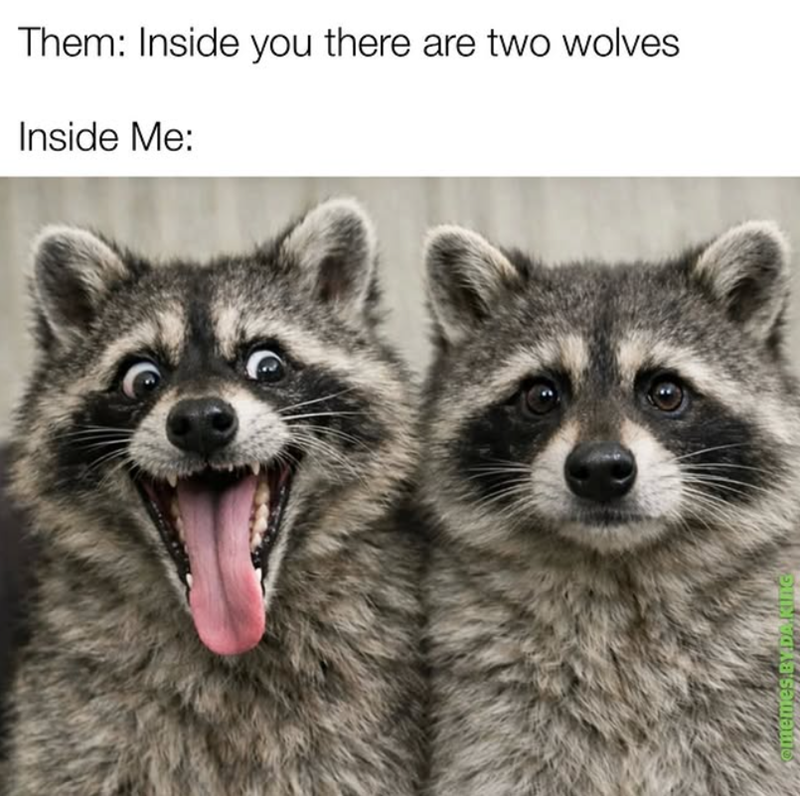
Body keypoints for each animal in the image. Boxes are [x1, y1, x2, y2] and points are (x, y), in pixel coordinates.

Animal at [421, 221, 800, 795]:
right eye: (541, 395)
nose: (601, 469)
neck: (617, 567)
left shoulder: (749, 705)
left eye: (665, 392)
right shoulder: (493, 709)